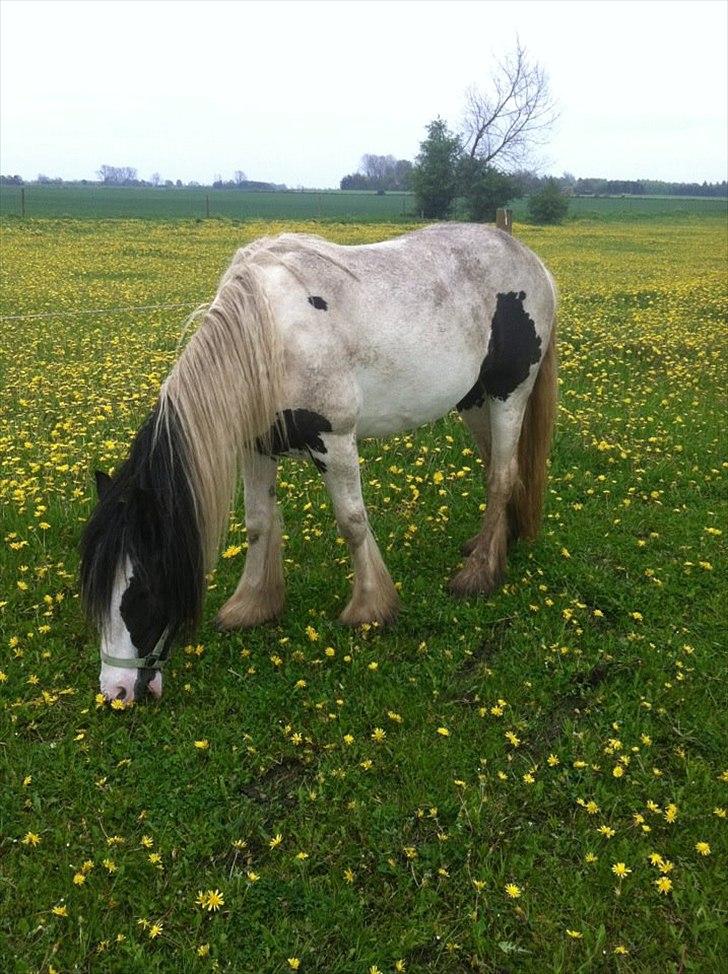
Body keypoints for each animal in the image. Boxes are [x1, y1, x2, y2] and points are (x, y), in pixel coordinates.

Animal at [79, 224, 556, 700]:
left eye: (141, 592)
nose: (116, 691)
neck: (271, 337)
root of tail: (529, 258)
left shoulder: (335, 440)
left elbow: (352, 521)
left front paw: (369, 608)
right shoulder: (256, 448)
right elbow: (258, 524)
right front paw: (252, 605)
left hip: (508, 392)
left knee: (502, 476)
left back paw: (478, 575)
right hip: (473, 399)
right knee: (494, 467)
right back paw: (490, 543)